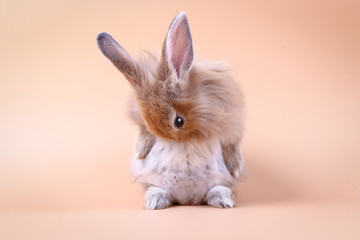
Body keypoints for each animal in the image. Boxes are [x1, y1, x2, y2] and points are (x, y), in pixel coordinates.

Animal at [97, 11, 246, 210]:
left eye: (179, 121)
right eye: (148, 125)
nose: (172, 139)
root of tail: (188, 200)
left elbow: (231, 145)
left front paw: (235, 169)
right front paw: (140, 151)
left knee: (215, 189)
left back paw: (224, 200)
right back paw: (154, 202)